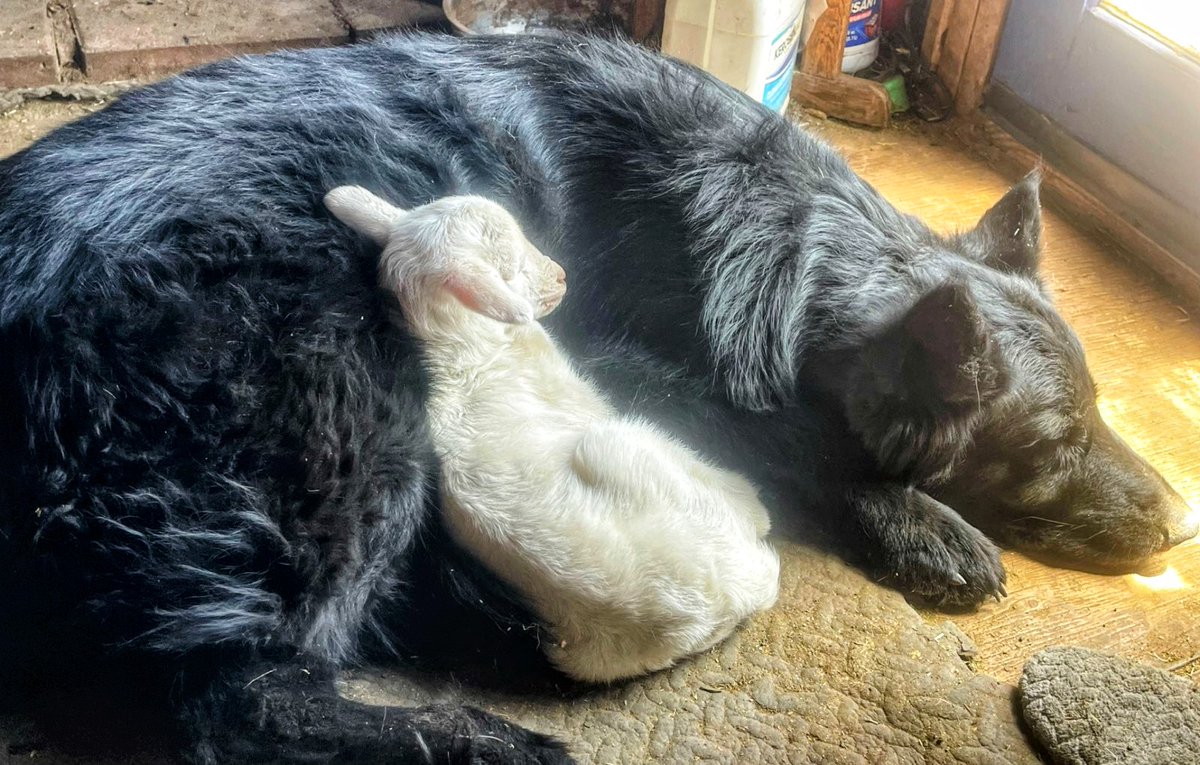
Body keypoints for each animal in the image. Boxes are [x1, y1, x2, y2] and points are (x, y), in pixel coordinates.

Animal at [324, 185, 782, 681]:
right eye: (509, 268)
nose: (562, 277)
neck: (465, 347)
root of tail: (738, 592)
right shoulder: (581, 401)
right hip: (616, 443)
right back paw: (755, 505)